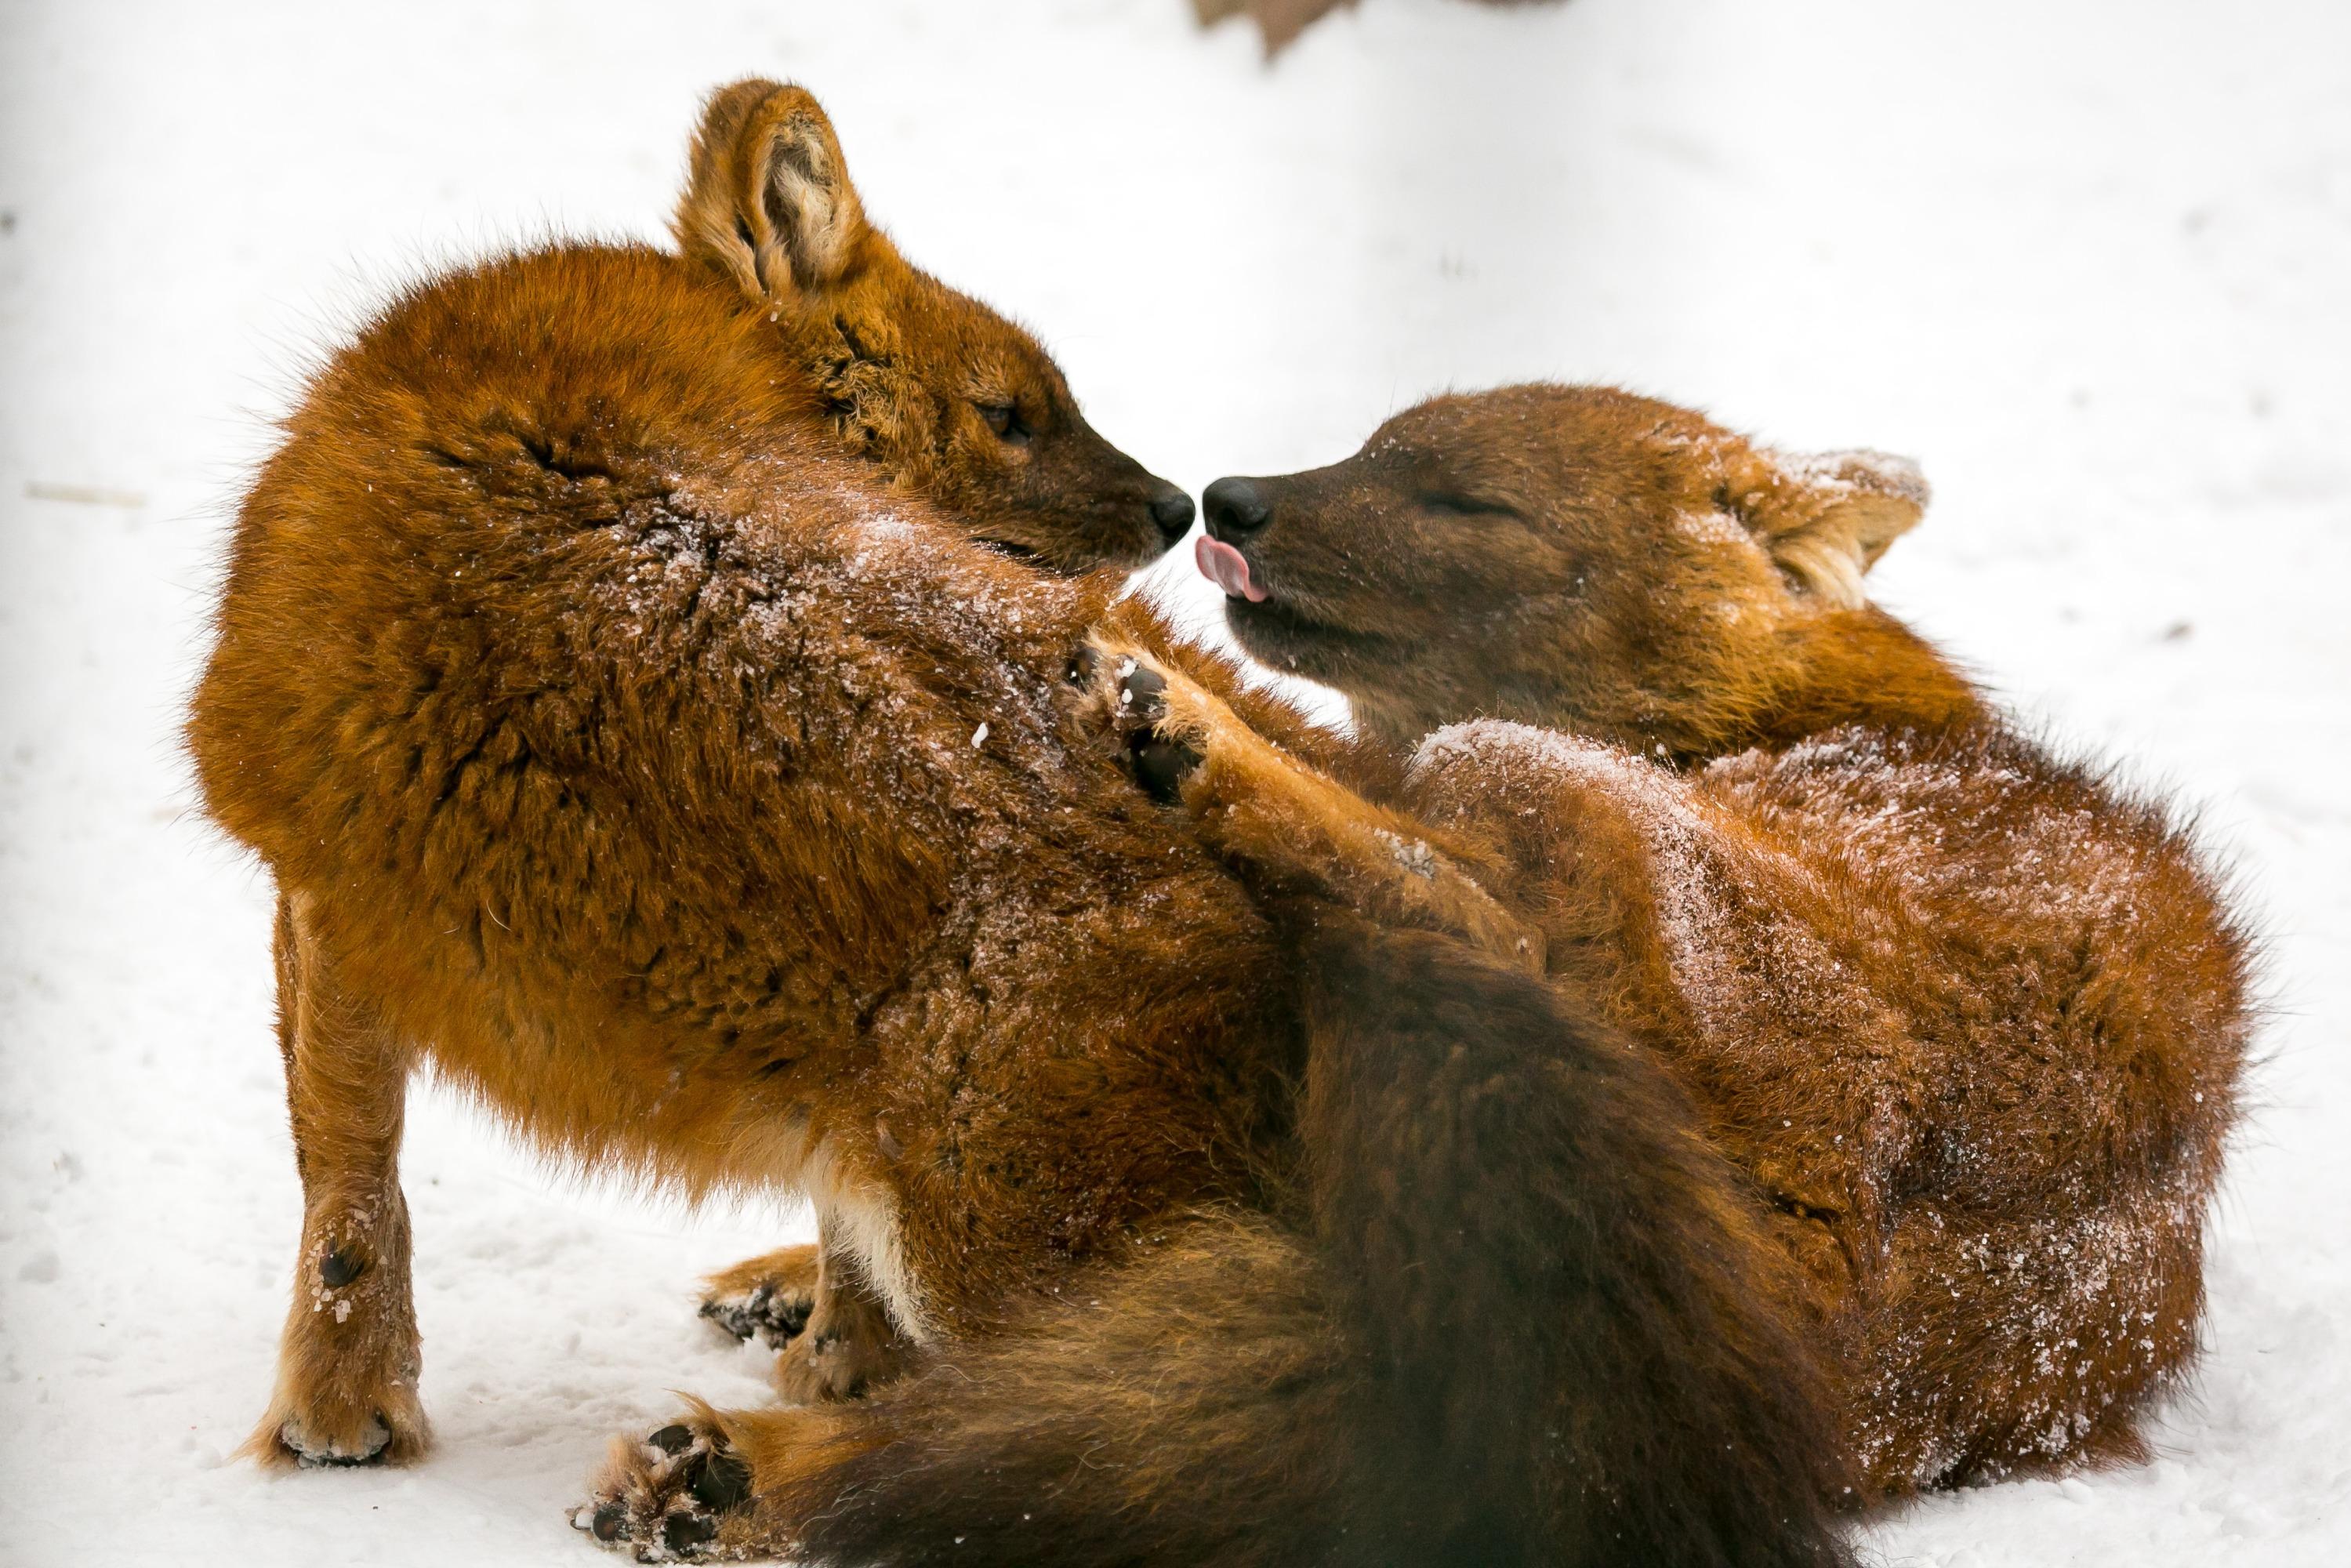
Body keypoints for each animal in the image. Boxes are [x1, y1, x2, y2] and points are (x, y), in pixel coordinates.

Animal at [192, 82, 1852, 1568]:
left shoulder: (318, 879)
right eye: (1010, 414)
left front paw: (341, 1418)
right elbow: (368, 1173)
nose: (1180, 504)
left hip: (1021, 1221)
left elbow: (348, 1172)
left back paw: (723, 1483)